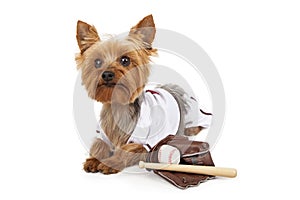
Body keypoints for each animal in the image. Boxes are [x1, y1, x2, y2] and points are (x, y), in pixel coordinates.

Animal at [75, 14, 211, 173]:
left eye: (125, 60)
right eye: (97, 62)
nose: (107, 74)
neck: (119, 107)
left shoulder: (145, 143)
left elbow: (127, 149)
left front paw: (110, 162)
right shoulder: (103, 136)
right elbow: (99, 145)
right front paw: (93, 160)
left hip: (194, 116)